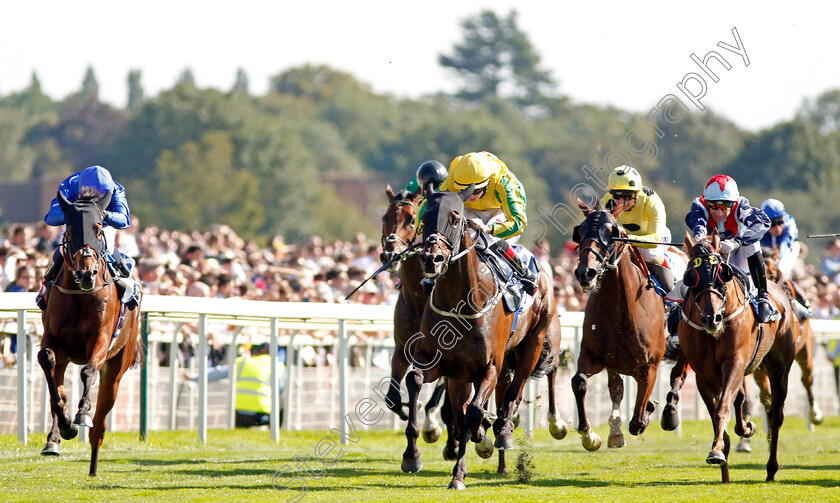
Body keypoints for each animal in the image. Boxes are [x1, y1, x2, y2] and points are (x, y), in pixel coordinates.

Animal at [38, 188, 144, 476]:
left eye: (98, 227)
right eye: (71, 228)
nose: (87, 273)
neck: (80, 295)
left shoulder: (101, 339)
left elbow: (88, 371)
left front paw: (82, 413)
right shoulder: (53, 338)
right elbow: (47, 363)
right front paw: (66, 425)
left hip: (118, 366)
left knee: (102, 419)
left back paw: (94, 466)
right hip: (67, 358)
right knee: (58, 384)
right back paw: (54, 440)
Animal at [402, 184, 564, 488]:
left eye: (455, 218)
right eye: (424, 217)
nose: (431, 258)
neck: (461, 302)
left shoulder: (490, 365)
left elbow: (475, 412)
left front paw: (469, 455)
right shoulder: (439, 362)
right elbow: (416, 381)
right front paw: (412, 456)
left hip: (533, 344)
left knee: (514, 391)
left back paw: (503, 431)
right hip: (462, 375)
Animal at [568, 199, 668, 450]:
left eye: (611, 232)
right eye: (580, 231)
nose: (586, 272)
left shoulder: (648, 366)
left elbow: (638, 420)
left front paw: (647, 409)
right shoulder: (595, 356)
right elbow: (579, 382)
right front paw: (588, 434)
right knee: (616, 389)